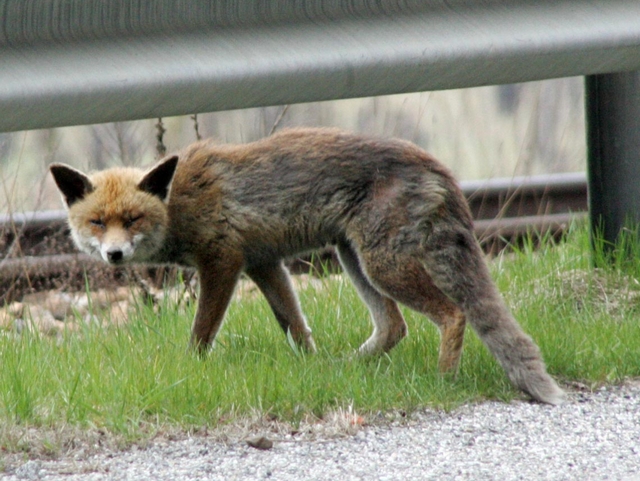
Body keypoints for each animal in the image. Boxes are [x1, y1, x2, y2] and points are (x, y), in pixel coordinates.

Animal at [51, 127, 564, 404]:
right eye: (97, 222)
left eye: (132, 219)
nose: (115, 255)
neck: (178, 203)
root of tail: (437, 166)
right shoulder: (264, 265)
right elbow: (296, 328)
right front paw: (311, 368)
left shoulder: (223, 262)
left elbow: (201, 333)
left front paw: (189, 369)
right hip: (354, 259)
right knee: (393, 327)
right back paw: (345, 369)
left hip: (382, 264)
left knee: (453, 314)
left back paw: (443, 380)